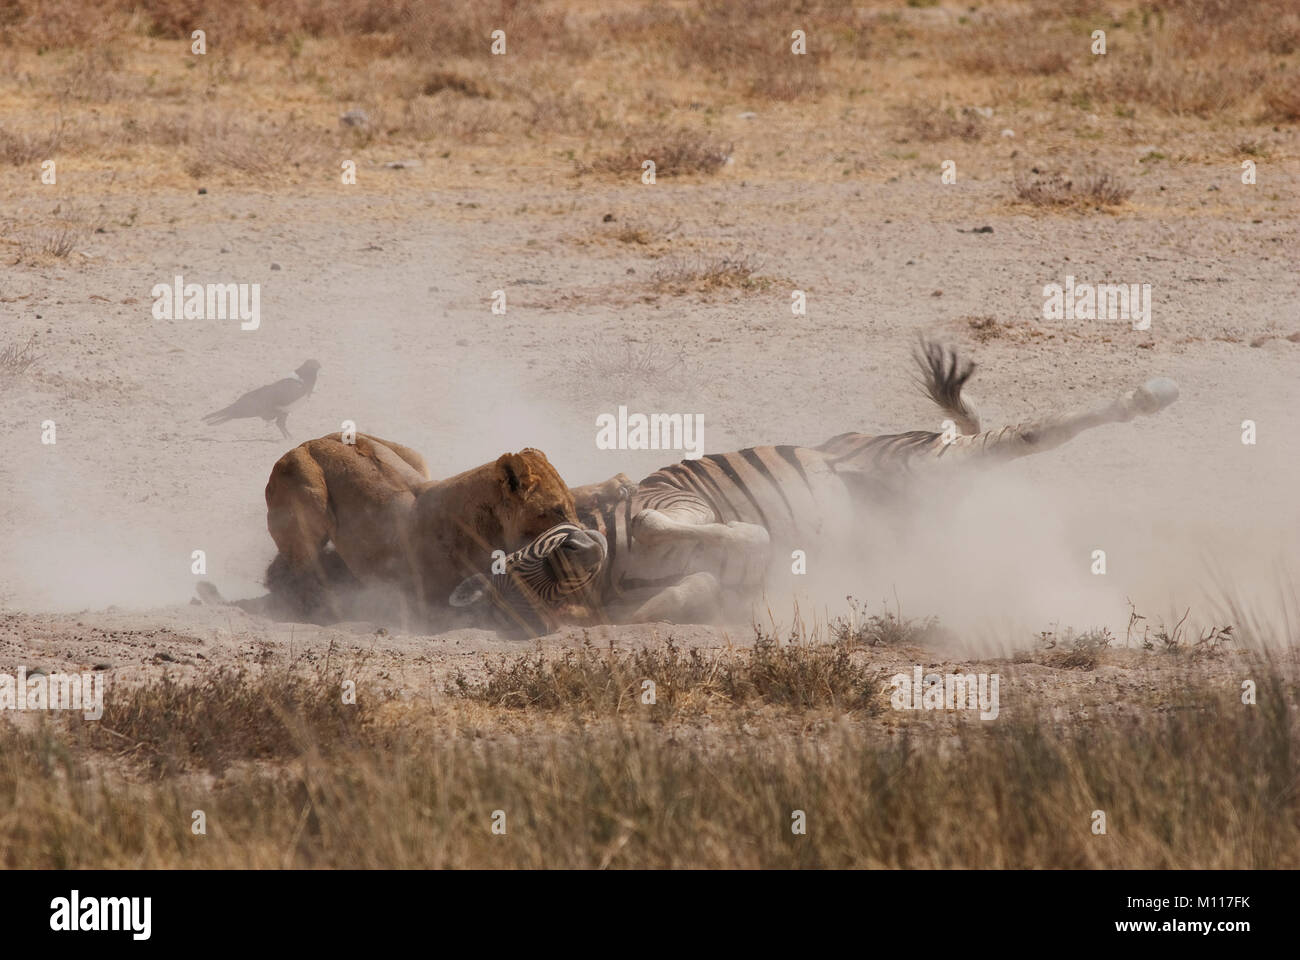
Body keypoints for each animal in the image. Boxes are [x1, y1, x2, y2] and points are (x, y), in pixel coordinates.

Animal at [261, 432, 579, 623]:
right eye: (557, 509)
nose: (584, 538)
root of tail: (311, 440)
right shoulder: (436, 602)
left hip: (412, 455)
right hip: (308, 491)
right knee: (302, 570)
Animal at [451, 341, 1180, 630]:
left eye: (540, 557)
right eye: (536, 601)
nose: (586, 548)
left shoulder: (669, 496)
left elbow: (672, 523)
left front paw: (754, 543)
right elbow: (695, 589)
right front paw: (742, 576)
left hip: (921, 462)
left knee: (1029, 433)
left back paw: (1151, 395)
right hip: (933, 490)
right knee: (1003, 449)